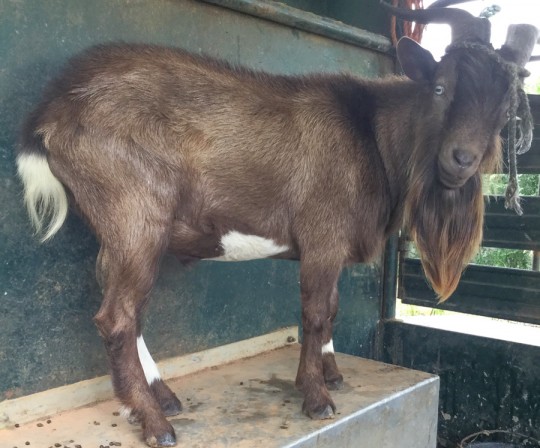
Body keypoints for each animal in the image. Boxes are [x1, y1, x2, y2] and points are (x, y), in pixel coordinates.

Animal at [16, 2, 537, 446]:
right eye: (440, 88)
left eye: (506, 107)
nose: (461, 160)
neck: (372, 134)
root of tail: (52, 111)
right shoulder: (323, 236)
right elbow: (316, 312)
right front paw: (316, 397)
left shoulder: (333, 247)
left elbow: (334, 308)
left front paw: (332, 374)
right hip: (135, 216)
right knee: (117, 317)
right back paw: (155, 421)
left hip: (122, 231)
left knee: (124, 307)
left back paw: (160, 397)